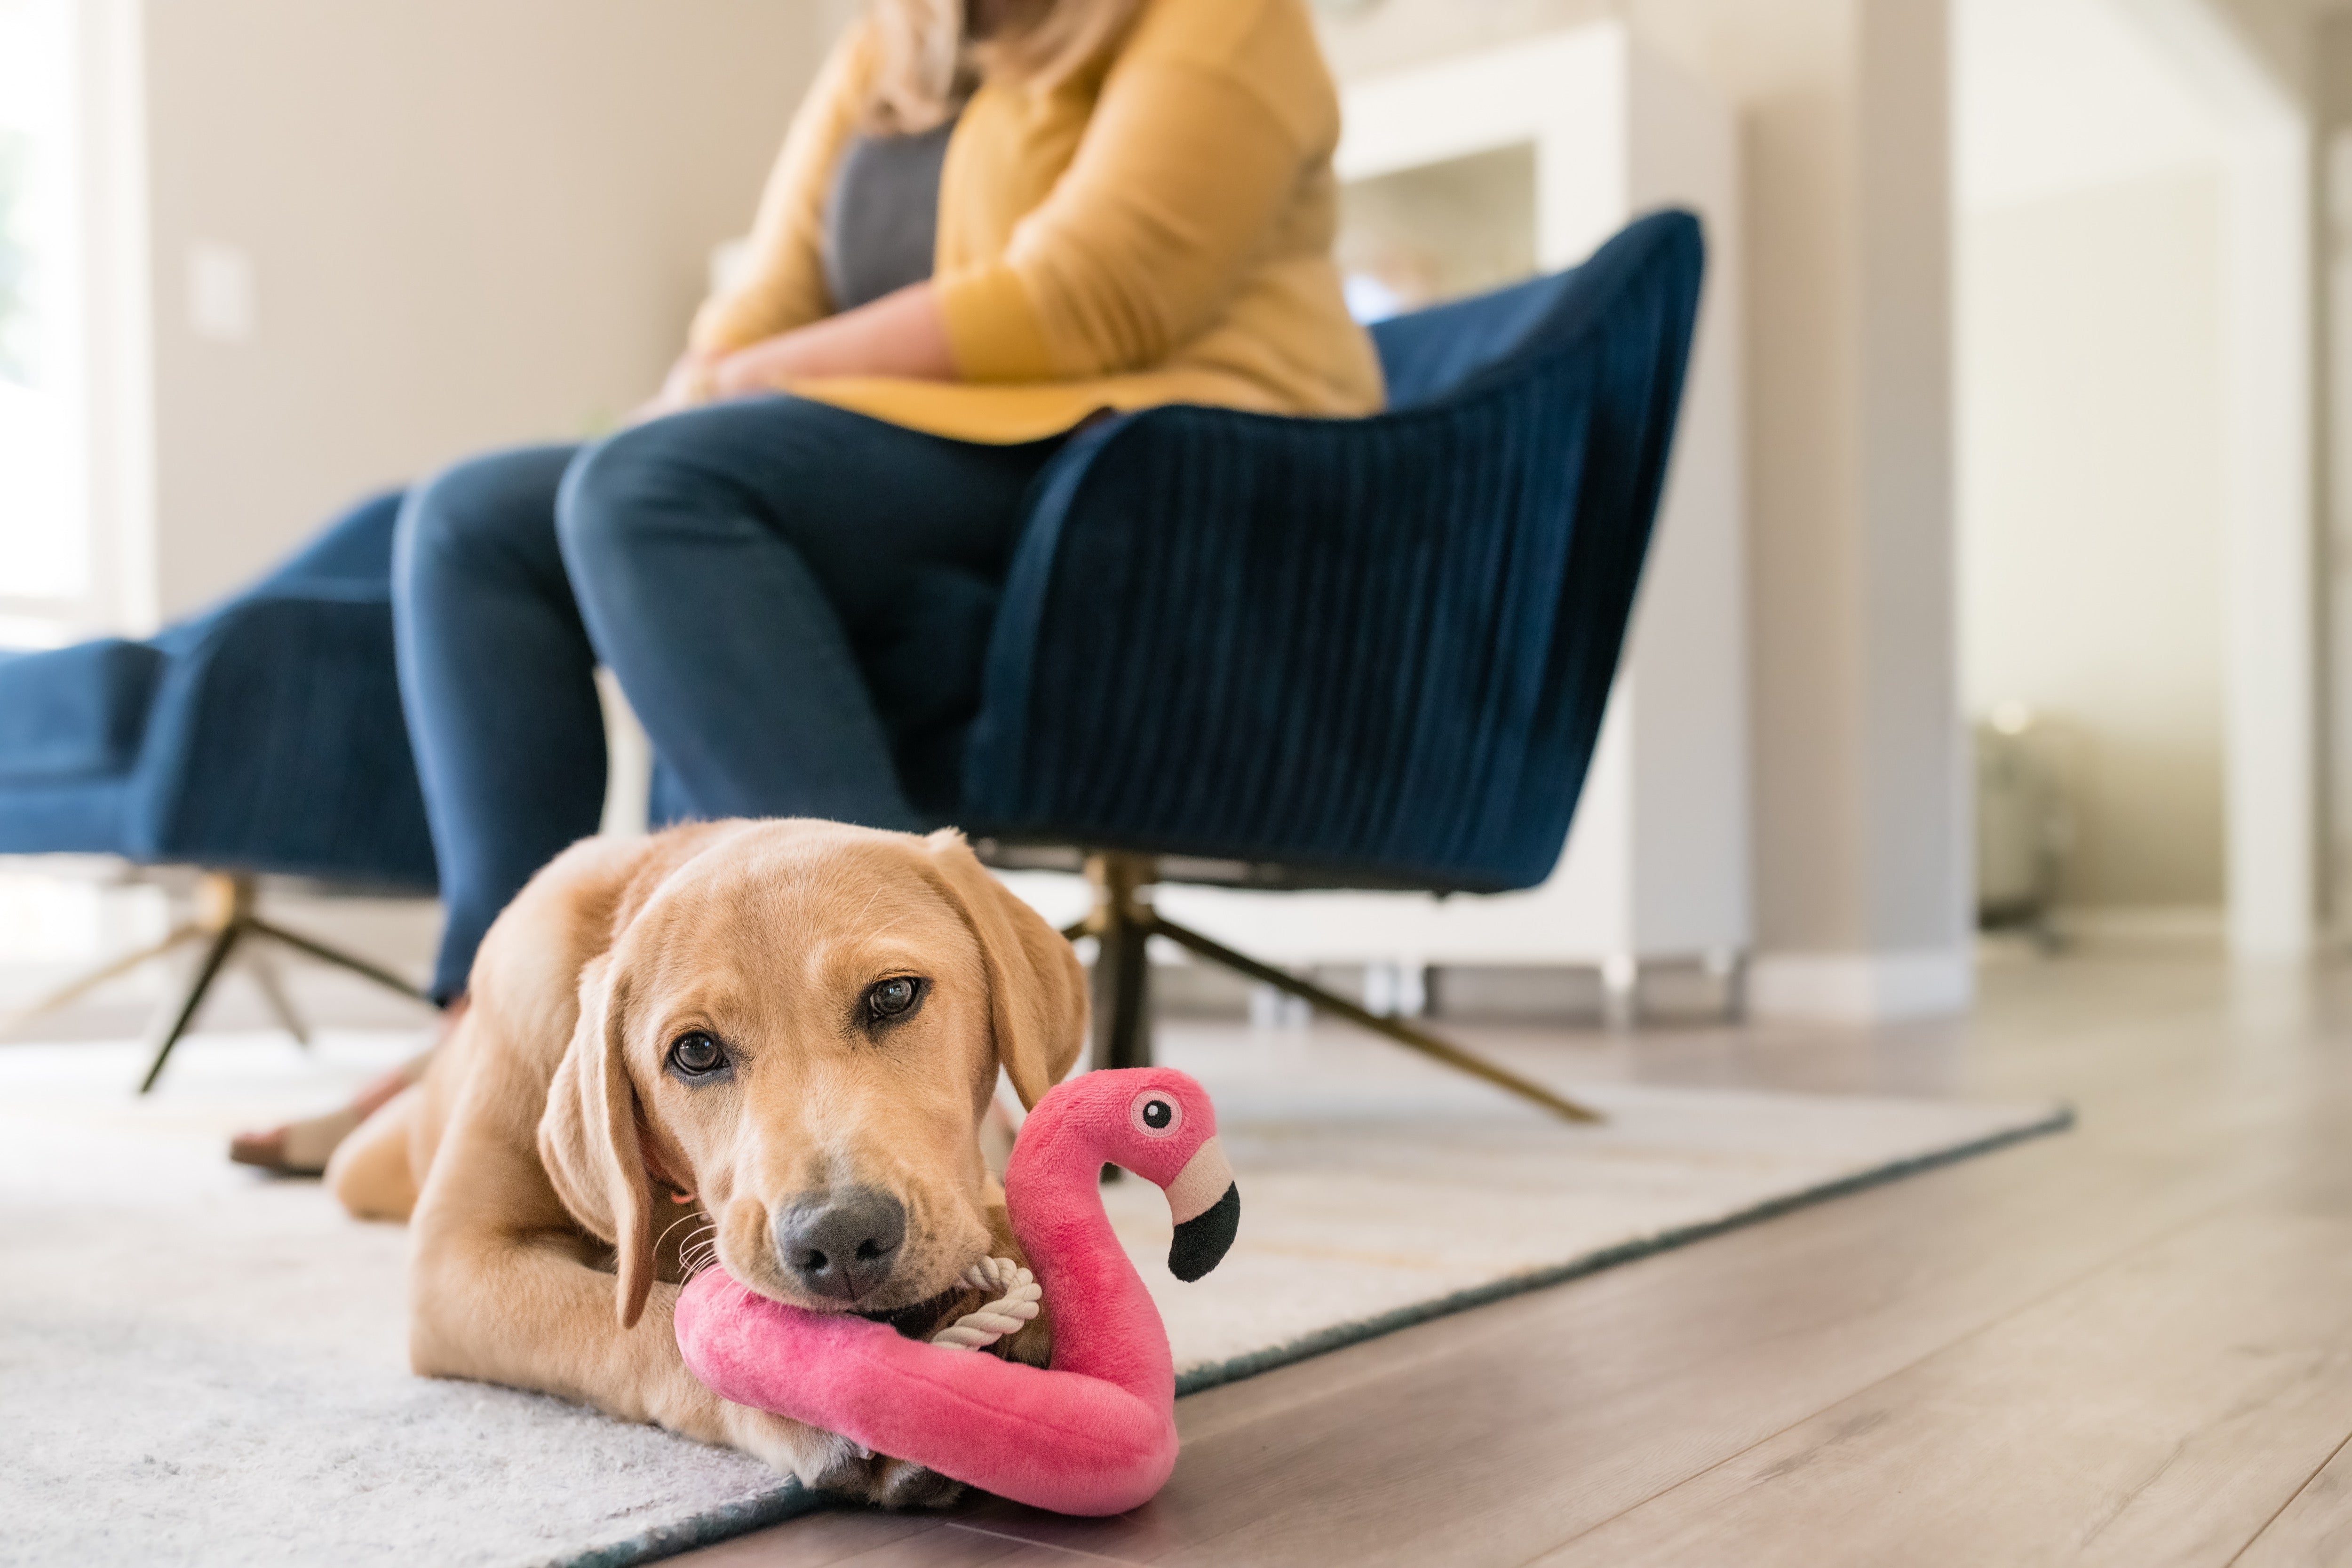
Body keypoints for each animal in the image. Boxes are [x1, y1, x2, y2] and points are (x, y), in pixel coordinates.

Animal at [329, 818, 1082, 1504]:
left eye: (894, 995)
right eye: (695, 1052)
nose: (840, 1238)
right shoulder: (458, 1263)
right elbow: (645, 1325)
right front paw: (799, 1391)